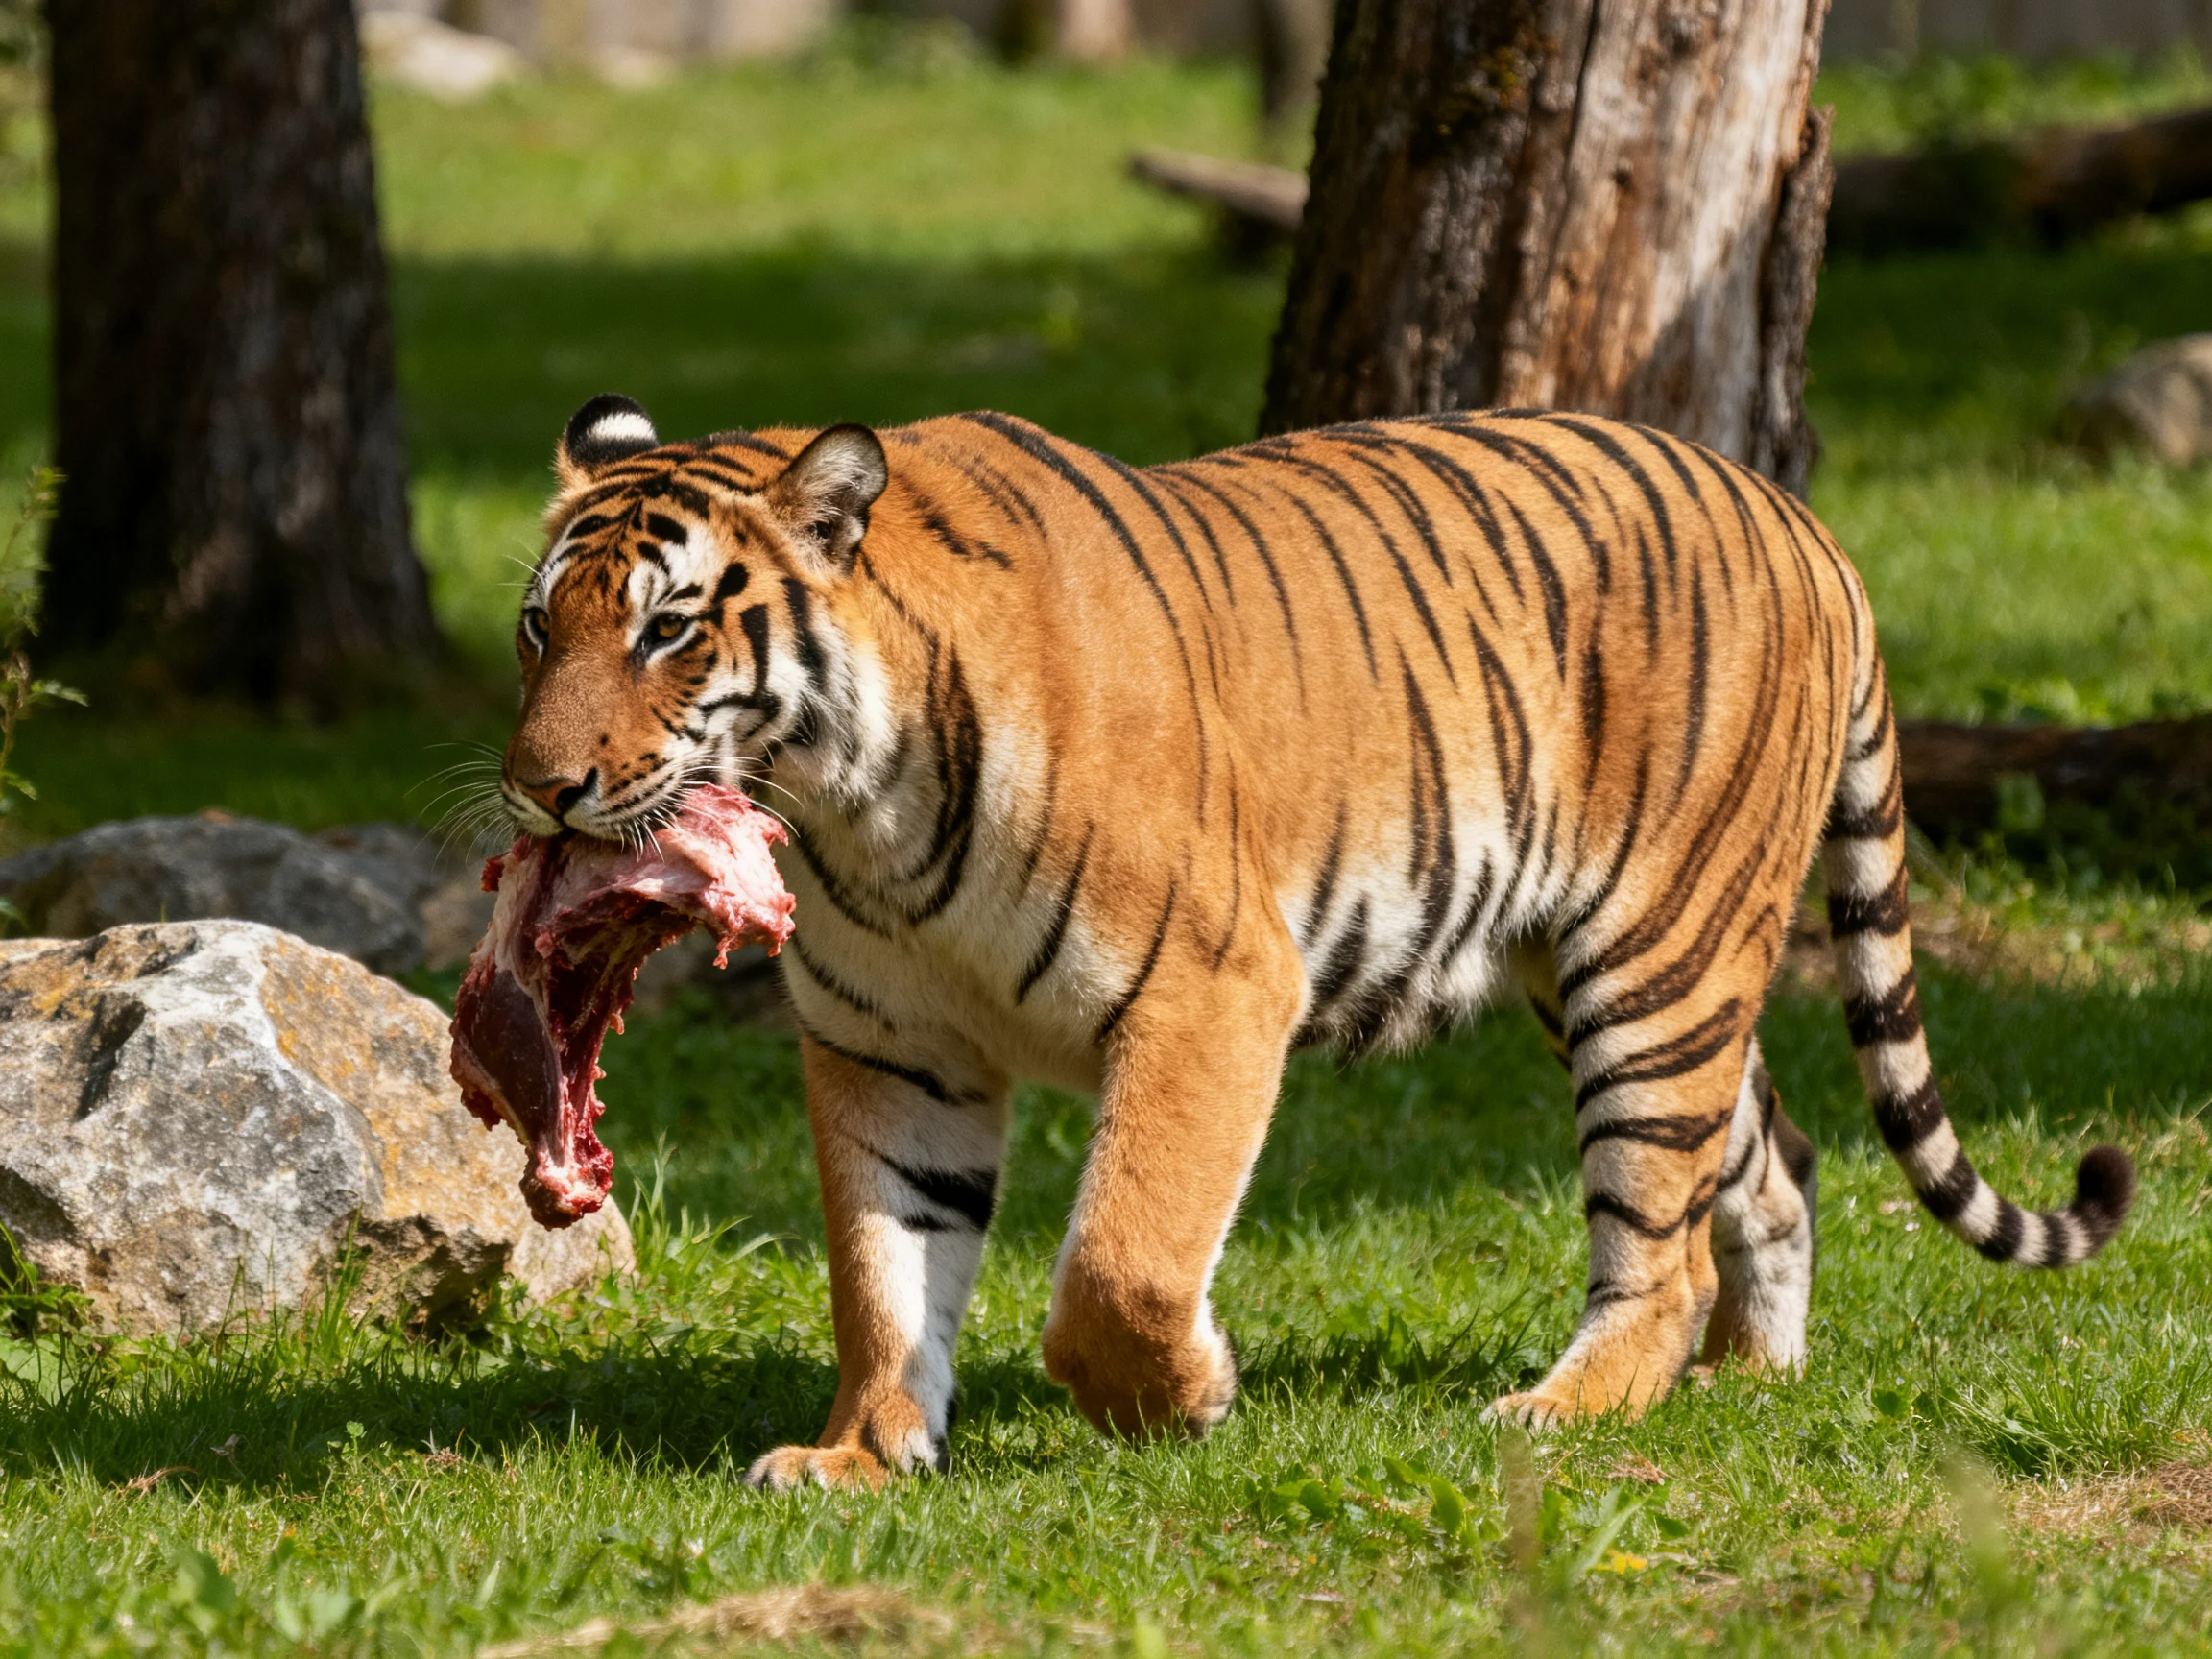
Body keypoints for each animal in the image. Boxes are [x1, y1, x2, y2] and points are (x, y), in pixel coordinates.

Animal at [498, 392, 2136, 1491]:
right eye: (538, 627)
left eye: (665, 630)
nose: (538, 785)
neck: (857, 811)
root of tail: (1802, 522)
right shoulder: (887, 1048)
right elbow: (882, 1268)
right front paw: (861, 1453)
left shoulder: (1210, 994)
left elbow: (1123, 1260)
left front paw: (1186, 1400)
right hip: (1619, 974)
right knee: (1770, 1160)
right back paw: (1748, 1379)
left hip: (1656, 964)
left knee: (1656, 1241)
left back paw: (1570, 1407)